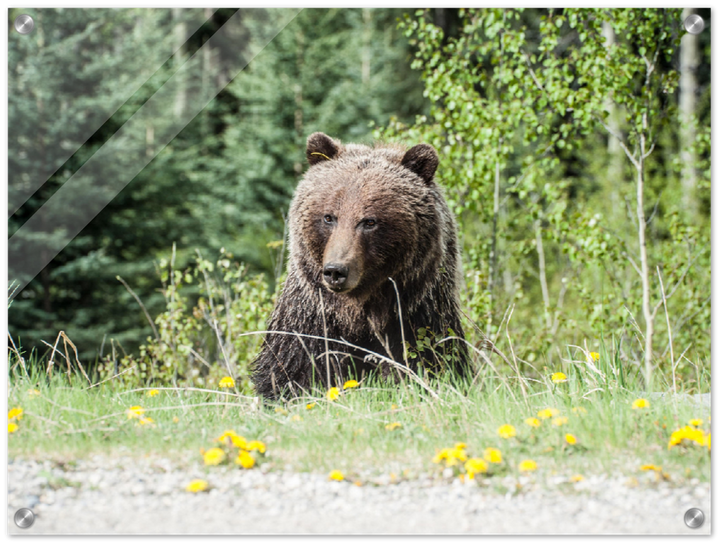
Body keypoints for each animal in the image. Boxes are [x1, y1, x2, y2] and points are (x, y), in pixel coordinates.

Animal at [251, 132, 470, 399]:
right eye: (329, 217)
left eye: (369, 221)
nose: (335, 271)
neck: (359, 312)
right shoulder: (311, 319)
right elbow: (291, 371)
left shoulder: (417, 316)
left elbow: (431, 362)